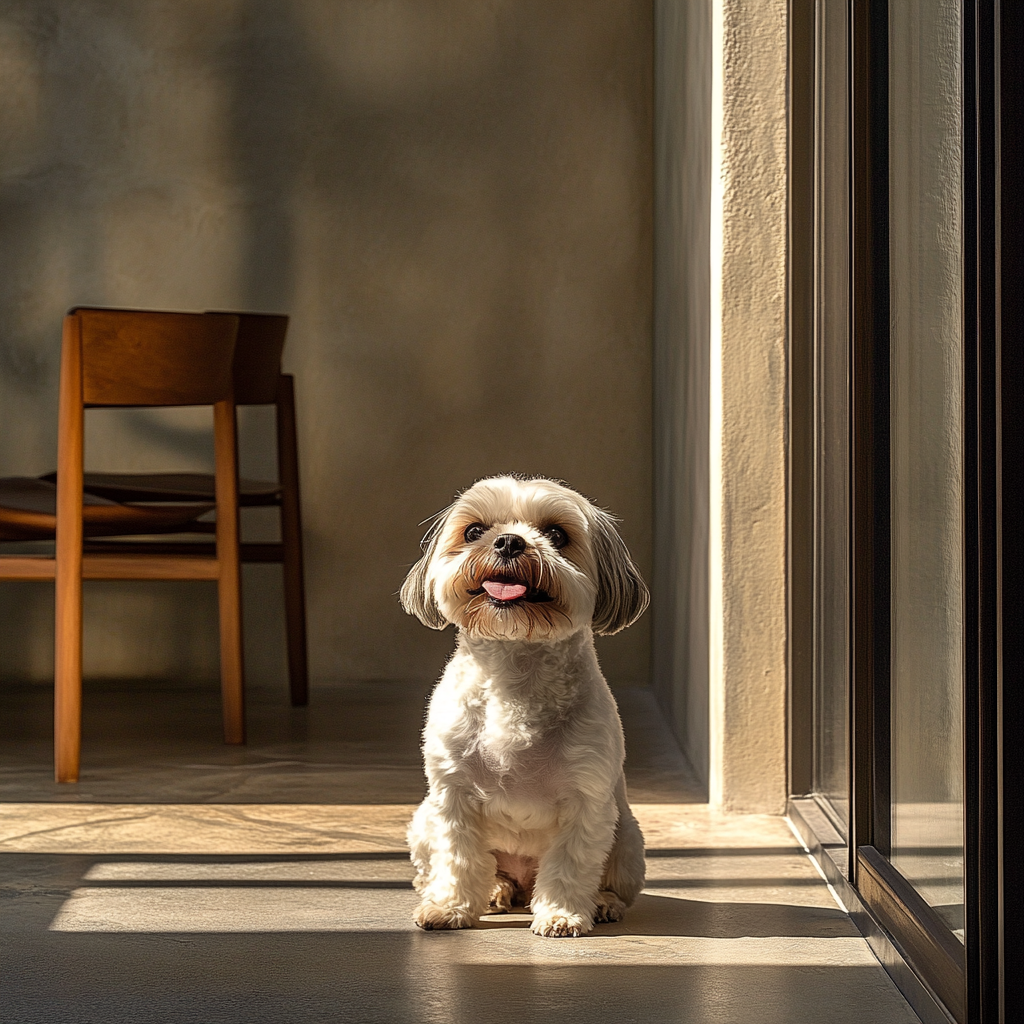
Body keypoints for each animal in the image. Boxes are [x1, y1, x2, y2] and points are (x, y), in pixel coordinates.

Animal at [399, 471, 647, 937]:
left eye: (557, 534)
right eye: (474, 531)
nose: (509, 542)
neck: (515, 668)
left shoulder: (587, 801)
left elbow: (570, 862)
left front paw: (561, 914)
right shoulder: (452, 794)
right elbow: (458, 858)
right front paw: (449, 908)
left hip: (626, 838)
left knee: (611, 879)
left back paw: (602, 903)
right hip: (423, 821)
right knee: (464, 868)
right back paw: (494, 890)